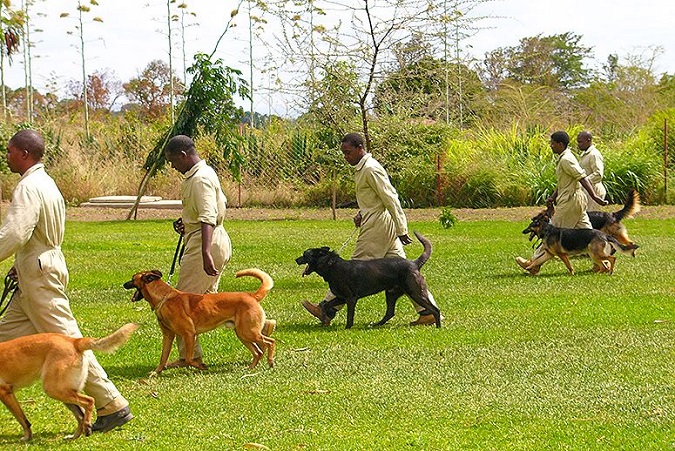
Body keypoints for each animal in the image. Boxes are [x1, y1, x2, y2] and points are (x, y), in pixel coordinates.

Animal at [0, 324, 138, 444]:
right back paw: (75, 436)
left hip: (54, 390)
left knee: (89, 402)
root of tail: (74, 341)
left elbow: (22, 419)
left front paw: (27, 437)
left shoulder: (5, 393)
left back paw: (87, 428)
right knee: (80, 415)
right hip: (64, 392)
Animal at [124, 268, 274, 374]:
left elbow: (189, 359)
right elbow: (163, 357)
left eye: (132, 278)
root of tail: (251, 296)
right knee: (258, 352)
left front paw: (201, 366)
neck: (164, 298)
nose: (123, 284)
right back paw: (251, 368)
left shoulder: (189, 334)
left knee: (270, 342)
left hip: (248, 332)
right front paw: (156, 372)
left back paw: (270, 362)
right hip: (242, 334)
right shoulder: (168, 336)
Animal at [294, 233, 440, 328]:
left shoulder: (350, 298)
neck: (331, 265)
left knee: (435, 309)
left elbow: (350, 315)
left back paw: (438, 327)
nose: (296, 259)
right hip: (391, 293)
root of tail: (414, 263)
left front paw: (347, 328)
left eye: (305, 254)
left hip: (415, 292)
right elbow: (325, 305)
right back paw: (376, 324)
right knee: (390, 312)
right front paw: (324, 318)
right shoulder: (341, 297)